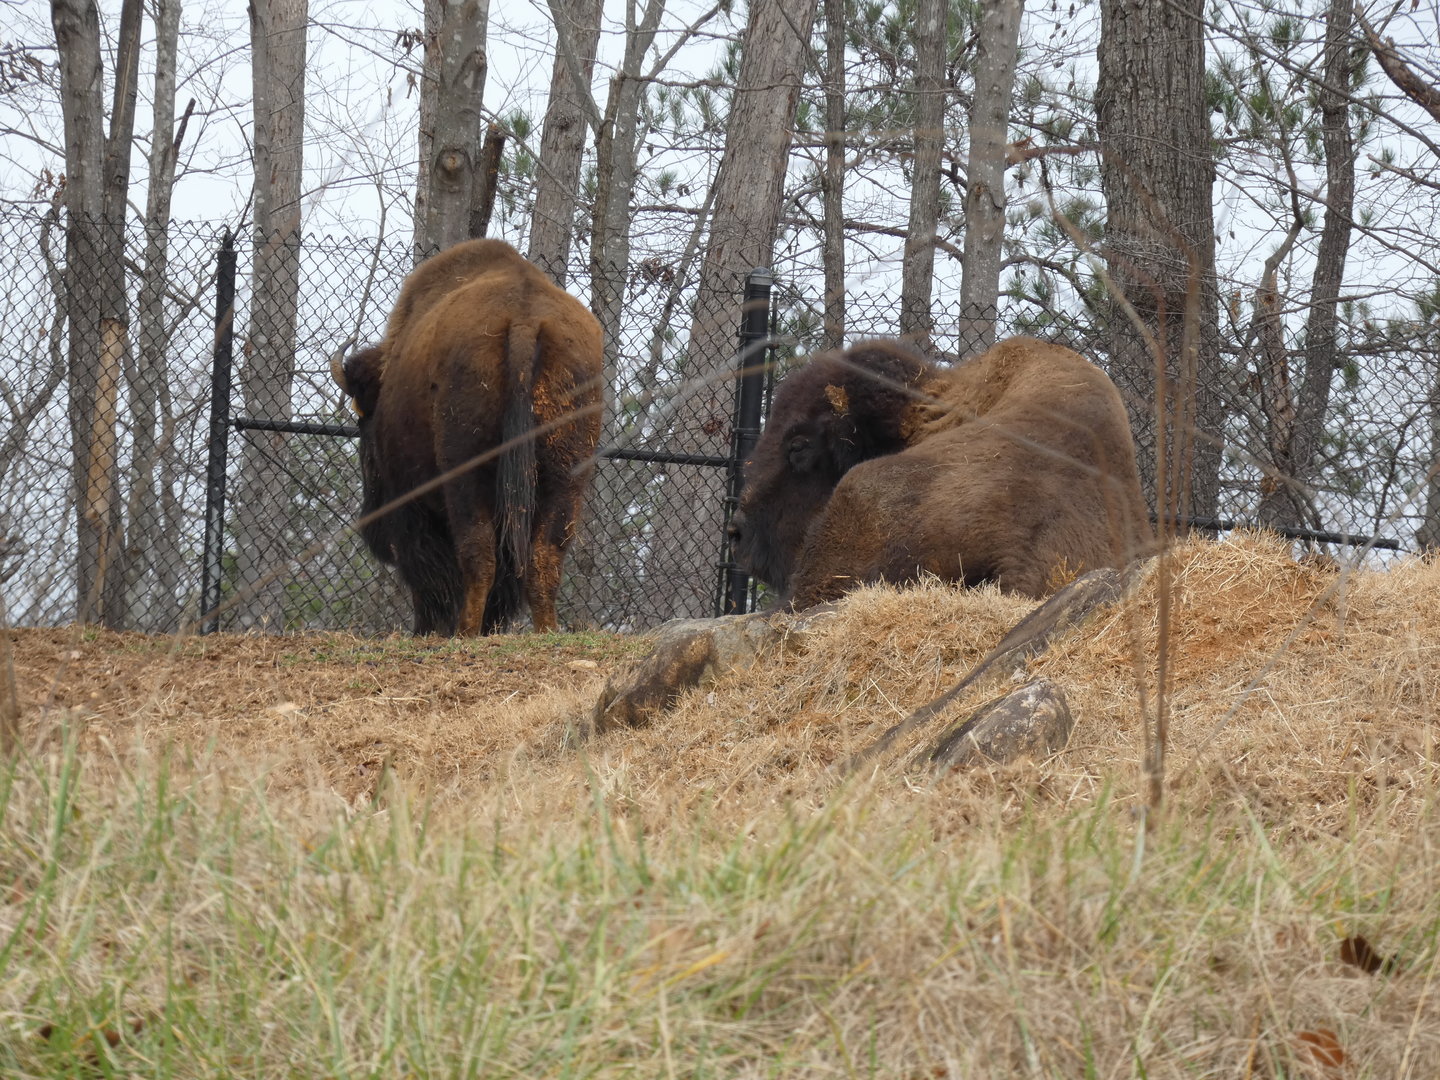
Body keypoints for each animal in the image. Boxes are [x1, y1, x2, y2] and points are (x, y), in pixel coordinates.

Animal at [331, 239, 603, 634]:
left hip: (464, 476)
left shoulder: (411, 506)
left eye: (363, 424)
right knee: (543, 556)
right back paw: (544, 631)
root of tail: (524, 318)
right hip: (566, 475)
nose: (373, 529)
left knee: (478, 554)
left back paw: (465, 632)